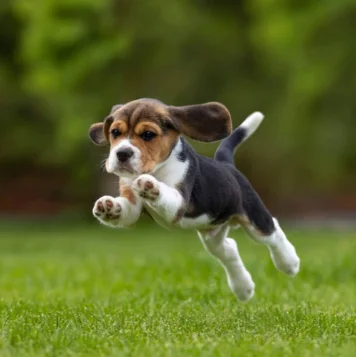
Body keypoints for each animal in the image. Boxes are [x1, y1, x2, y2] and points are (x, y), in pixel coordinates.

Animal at [88, 97, 298, 300]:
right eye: (115, 132)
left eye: (148, 135)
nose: (122, 153)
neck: (157, 169)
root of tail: (227, 165)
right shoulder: (131, 204)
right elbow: (126, 210)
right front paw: (107, 206)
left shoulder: (179, 202)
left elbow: (165, 193)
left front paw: (151, 186)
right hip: (212, 234)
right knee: (229, 250)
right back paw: (243, 288)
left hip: (254, 217)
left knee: (272, 231)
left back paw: (289, 263)